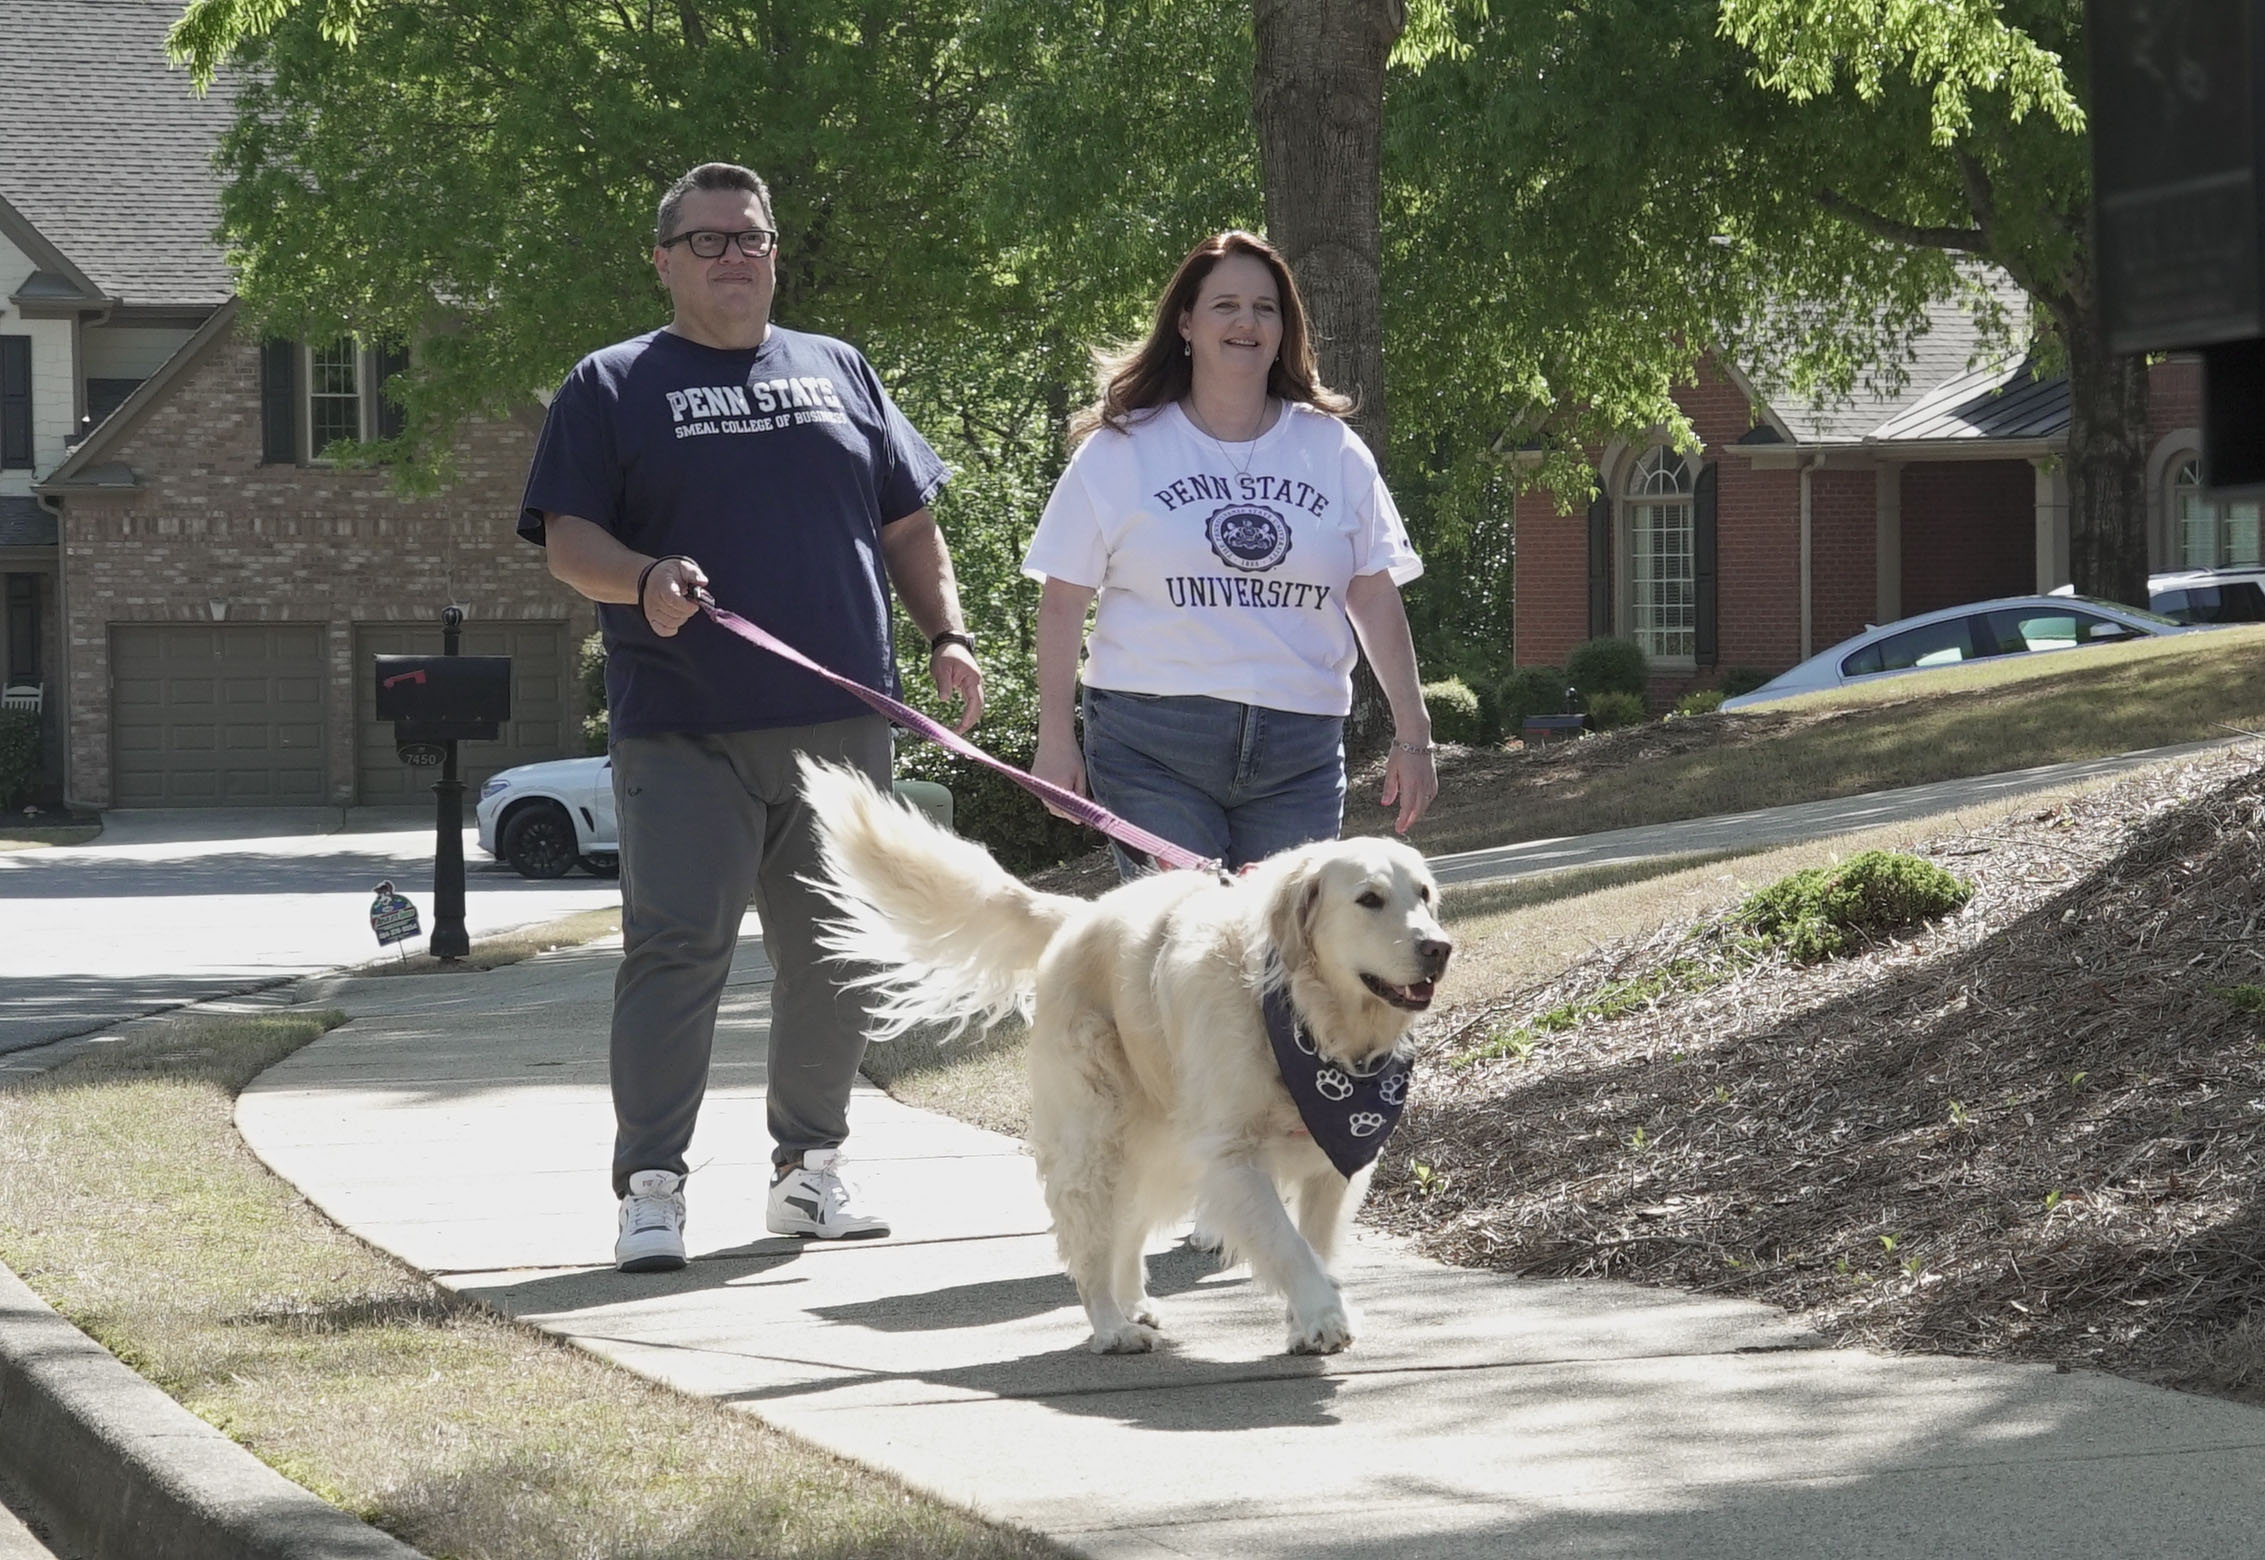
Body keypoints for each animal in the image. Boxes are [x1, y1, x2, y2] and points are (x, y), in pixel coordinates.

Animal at [797, 756, 1449, 1349]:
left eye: (1424, 895)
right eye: (1369, 899)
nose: (1439, 948)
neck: (1306, 1019)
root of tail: (1078, 913)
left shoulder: (1330, 1161)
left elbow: (1313, 1245)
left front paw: (1308, 1317)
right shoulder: (1233, 1153)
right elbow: (1287, 1244)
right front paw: (1322, 1317)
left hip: (1155, 1140)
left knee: (1129, 1227)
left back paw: (1132, 1302)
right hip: (1096, 1136)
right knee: (1090, 1242)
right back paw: (1111, 1325)